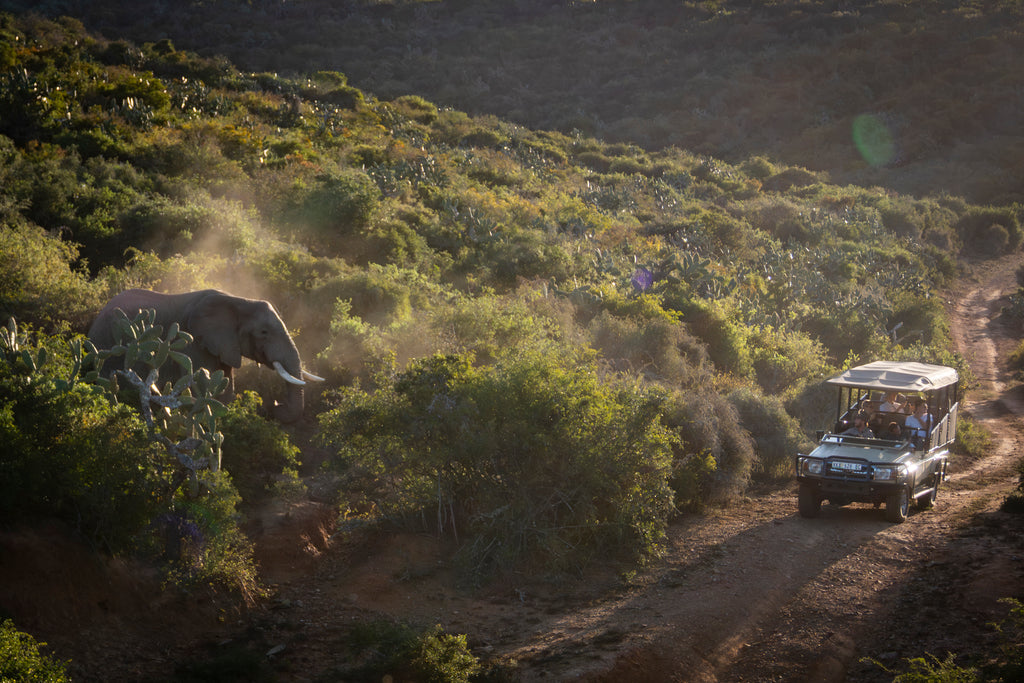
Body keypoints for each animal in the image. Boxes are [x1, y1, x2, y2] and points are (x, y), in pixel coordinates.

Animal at [88, 289, 323, 422]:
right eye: (264, 332)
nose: (275, 404)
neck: (239, 301)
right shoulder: (193, 341)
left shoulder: (223, 344)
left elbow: (224, 387)